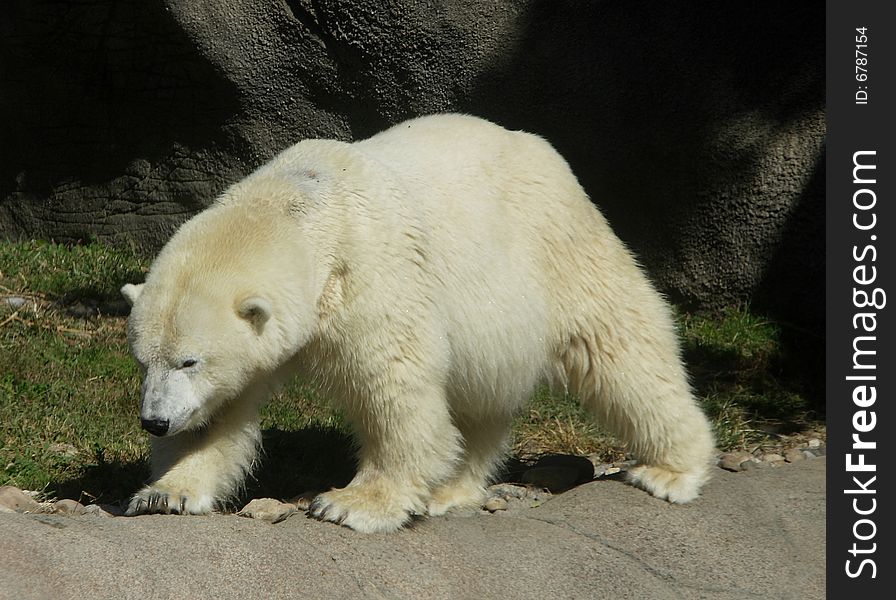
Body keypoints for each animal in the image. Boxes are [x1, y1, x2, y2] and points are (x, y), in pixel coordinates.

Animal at [122, 115, 712, 532]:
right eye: (142, 360)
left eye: (190, 360)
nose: (154, 422)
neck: (301, 209)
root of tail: (540, 149)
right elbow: (219, 414)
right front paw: (165, 493)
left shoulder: (368, 276)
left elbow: (392, 385)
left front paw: (351, 504)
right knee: (479, 399)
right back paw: (452, 489)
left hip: (555, 246)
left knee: (619, 344)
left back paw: (670, 470)